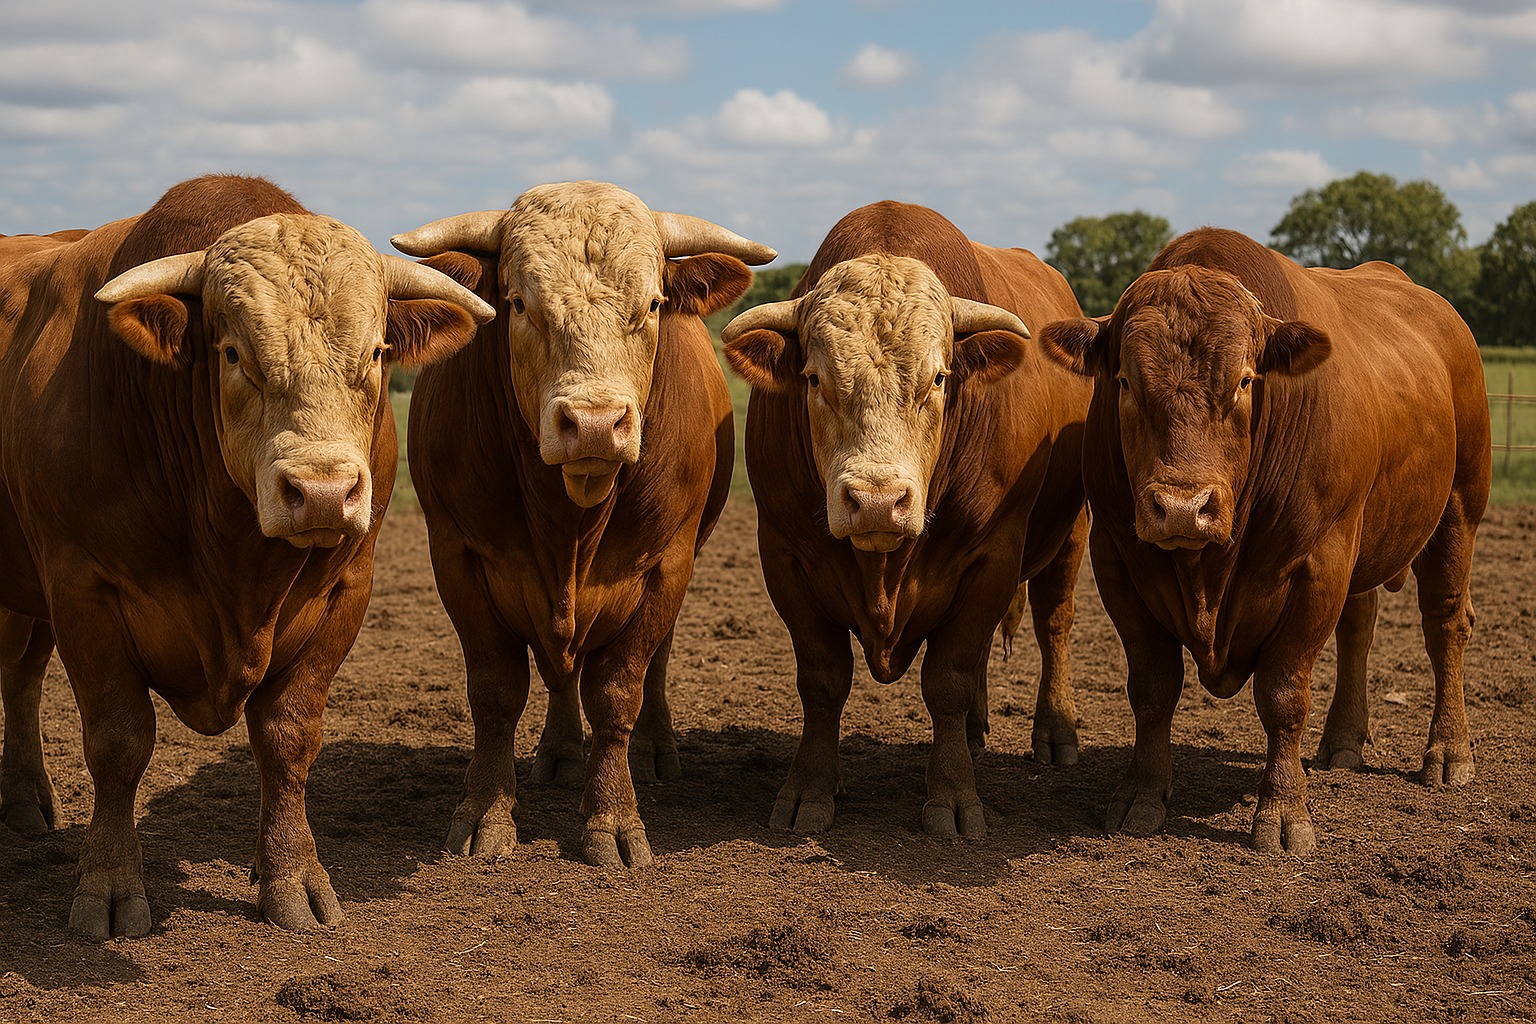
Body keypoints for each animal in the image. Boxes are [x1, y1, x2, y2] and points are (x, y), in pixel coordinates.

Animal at [0, 175, 494, 937]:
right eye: (232, 353)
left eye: (378, 351)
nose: (322, 491)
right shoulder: (82, 586)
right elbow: (118, 741)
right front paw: (108, 887)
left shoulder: (346, 589)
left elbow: (288, 738)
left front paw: (288, 875)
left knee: (20, 679)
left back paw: (26, 802)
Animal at [390, 181, 774, 868]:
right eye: (519, 303)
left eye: (652, 303)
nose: (595, 423)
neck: (569, 521)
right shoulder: (457, 557)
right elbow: (496, 692)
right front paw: (485, 814)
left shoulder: (666, 564)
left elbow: (618, 691)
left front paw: (613, 818)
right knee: (558, 670)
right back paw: (562, 752)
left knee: (652, 664)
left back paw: (655, 748)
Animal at [721, 201, 1092, 838]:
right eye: (814, 378)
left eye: (939, 377)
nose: (876, 500)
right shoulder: (784, 555)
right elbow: (822, 680)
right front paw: (810, 789)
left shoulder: (993, 556)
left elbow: (948, 677)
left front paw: (953, 795)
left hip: (1071, 533)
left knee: (1055, 624)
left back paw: (1055, 731)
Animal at [1035, 227, 1491, 854]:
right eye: (1124, 381)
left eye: (1246, 380)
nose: (1183, 507)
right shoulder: (1118, 562)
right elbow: (1152, 688)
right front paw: (1141, 795)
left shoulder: (1318, 565)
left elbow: (1283, 695)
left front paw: (1282, 812)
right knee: (1359, 626)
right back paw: (1342, 742)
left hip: (1459, 508)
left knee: (1446, 623)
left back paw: (1448, 751)